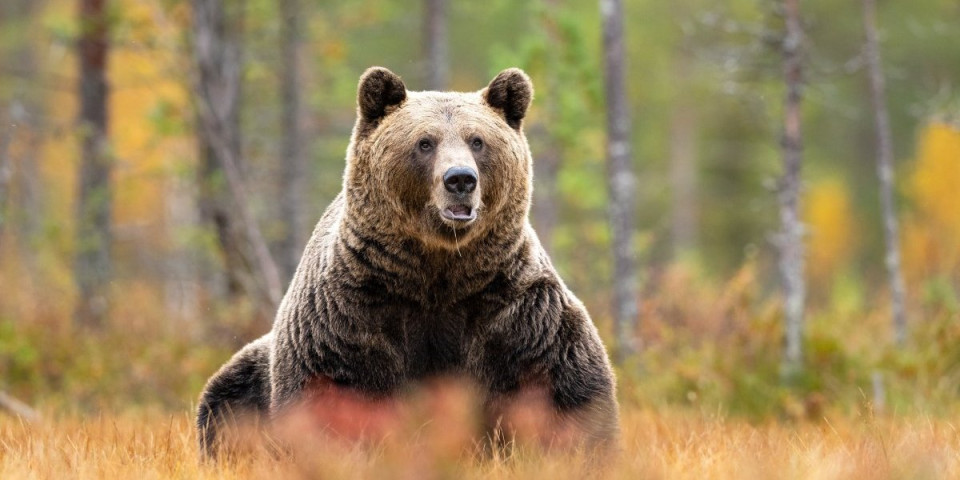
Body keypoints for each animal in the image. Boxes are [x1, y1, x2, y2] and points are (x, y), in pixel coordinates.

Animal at [199, 66, 628, 458]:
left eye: (477, 140)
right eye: (425, 142)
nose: (460, 179)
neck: (436, 270)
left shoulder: (513, 309)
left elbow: (562, 387)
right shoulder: (351, 313)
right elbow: (332, 394)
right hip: (254, 368)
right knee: (226, 401)